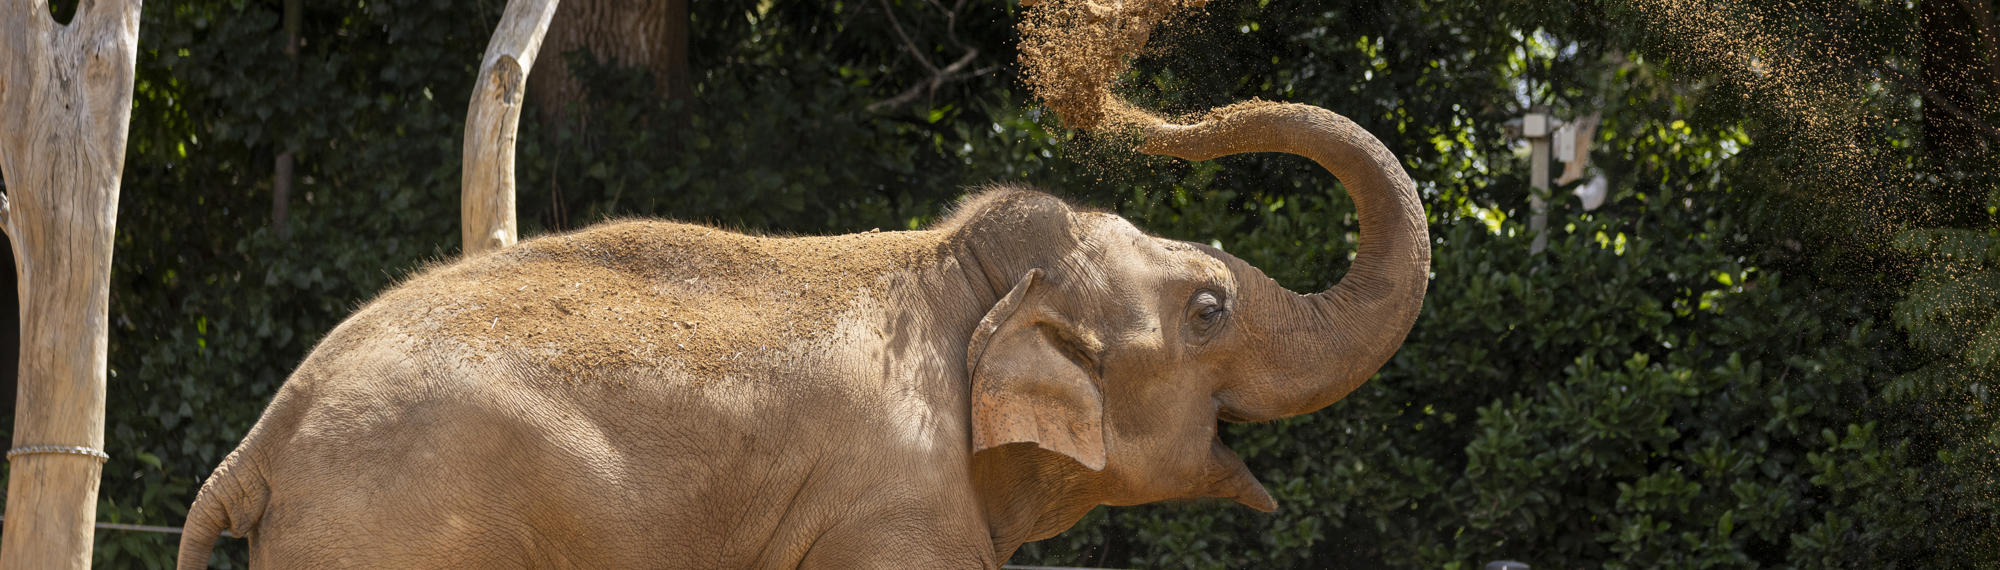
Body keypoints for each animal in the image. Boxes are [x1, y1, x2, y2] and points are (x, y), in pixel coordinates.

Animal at [176, 101, 1429, 568]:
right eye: (1208, 307)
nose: (1138, 116)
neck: (964, 282)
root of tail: (258, 444)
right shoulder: (889, 509)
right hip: (393, 532)